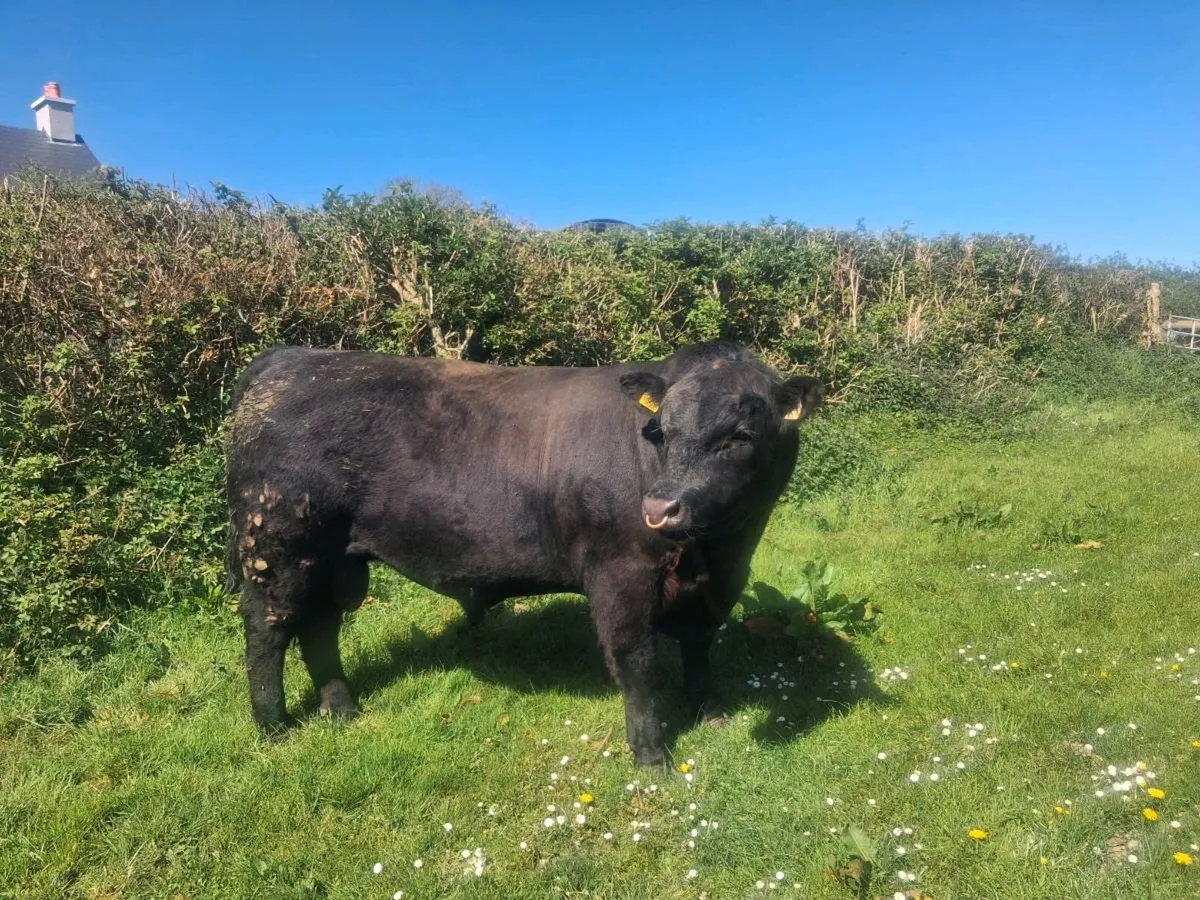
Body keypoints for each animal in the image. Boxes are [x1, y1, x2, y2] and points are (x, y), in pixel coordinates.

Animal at [224, 341, 823, 766]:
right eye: (662, 430)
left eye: (741, 434)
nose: (660, 507)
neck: (713, 550)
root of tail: (293, 359)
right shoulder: (620, 576)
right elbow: (638, 664)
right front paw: (651, 755)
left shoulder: (723, 578)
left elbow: (700, 644)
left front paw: (712, 711)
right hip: (277, 548)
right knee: (268, 629)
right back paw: (272, 723)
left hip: (332, 561)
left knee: (319, 626)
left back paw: (343, 709)